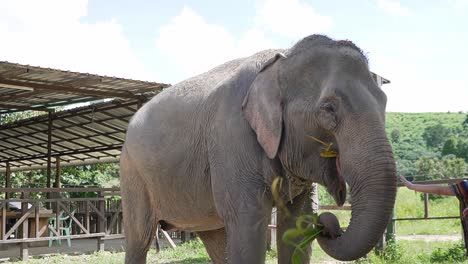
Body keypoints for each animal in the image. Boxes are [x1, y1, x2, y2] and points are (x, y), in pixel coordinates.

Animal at [119, 35, 394, 264]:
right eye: (329, 108)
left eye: (384, 101)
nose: (327, 225)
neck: (282, 59)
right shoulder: (232, 139)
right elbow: (248, 222)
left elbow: (297, 224)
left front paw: (305, 222)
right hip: (133, 175)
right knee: (139, 238)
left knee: (215, 236)